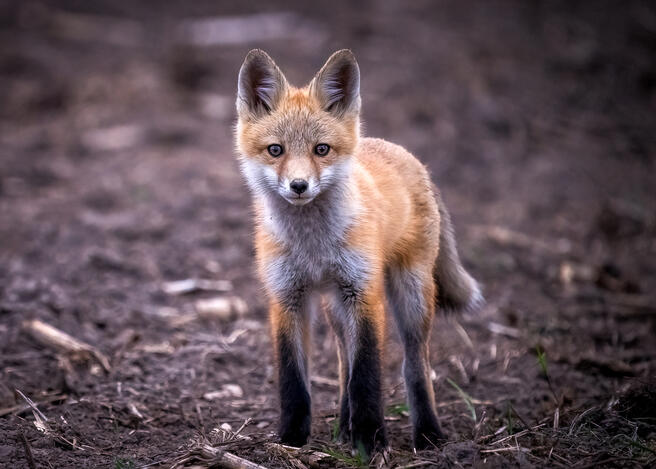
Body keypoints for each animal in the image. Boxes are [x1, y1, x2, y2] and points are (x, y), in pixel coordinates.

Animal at [236, 49, 482, 456]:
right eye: (276, 150)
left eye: (321, 149)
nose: (299, 185)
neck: (314, 246)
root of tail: (409, 156)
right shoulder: (286, 297)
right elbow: (294, 379)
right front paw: (291, 439)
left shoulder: (364, 292)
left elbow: (367, 375)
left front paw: (371, 441)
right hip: (335, 306)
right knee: (342, 365)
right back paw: (342, 427)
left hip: (412, 295)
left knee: (415, 365)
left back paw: (428, 434)